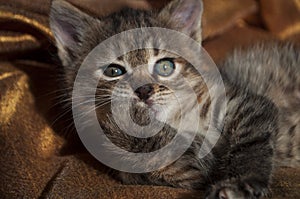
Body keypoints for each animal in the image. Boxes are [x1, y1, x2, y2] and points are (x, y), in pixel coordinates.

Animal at [49, 0, 300, 198]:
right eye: (114, 71)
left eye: (165, 66)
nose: (143, 90)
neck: (176, 120)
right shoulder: (179, 173)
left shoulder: (246, 103)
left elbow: (251, 144)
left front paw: (238, 184)